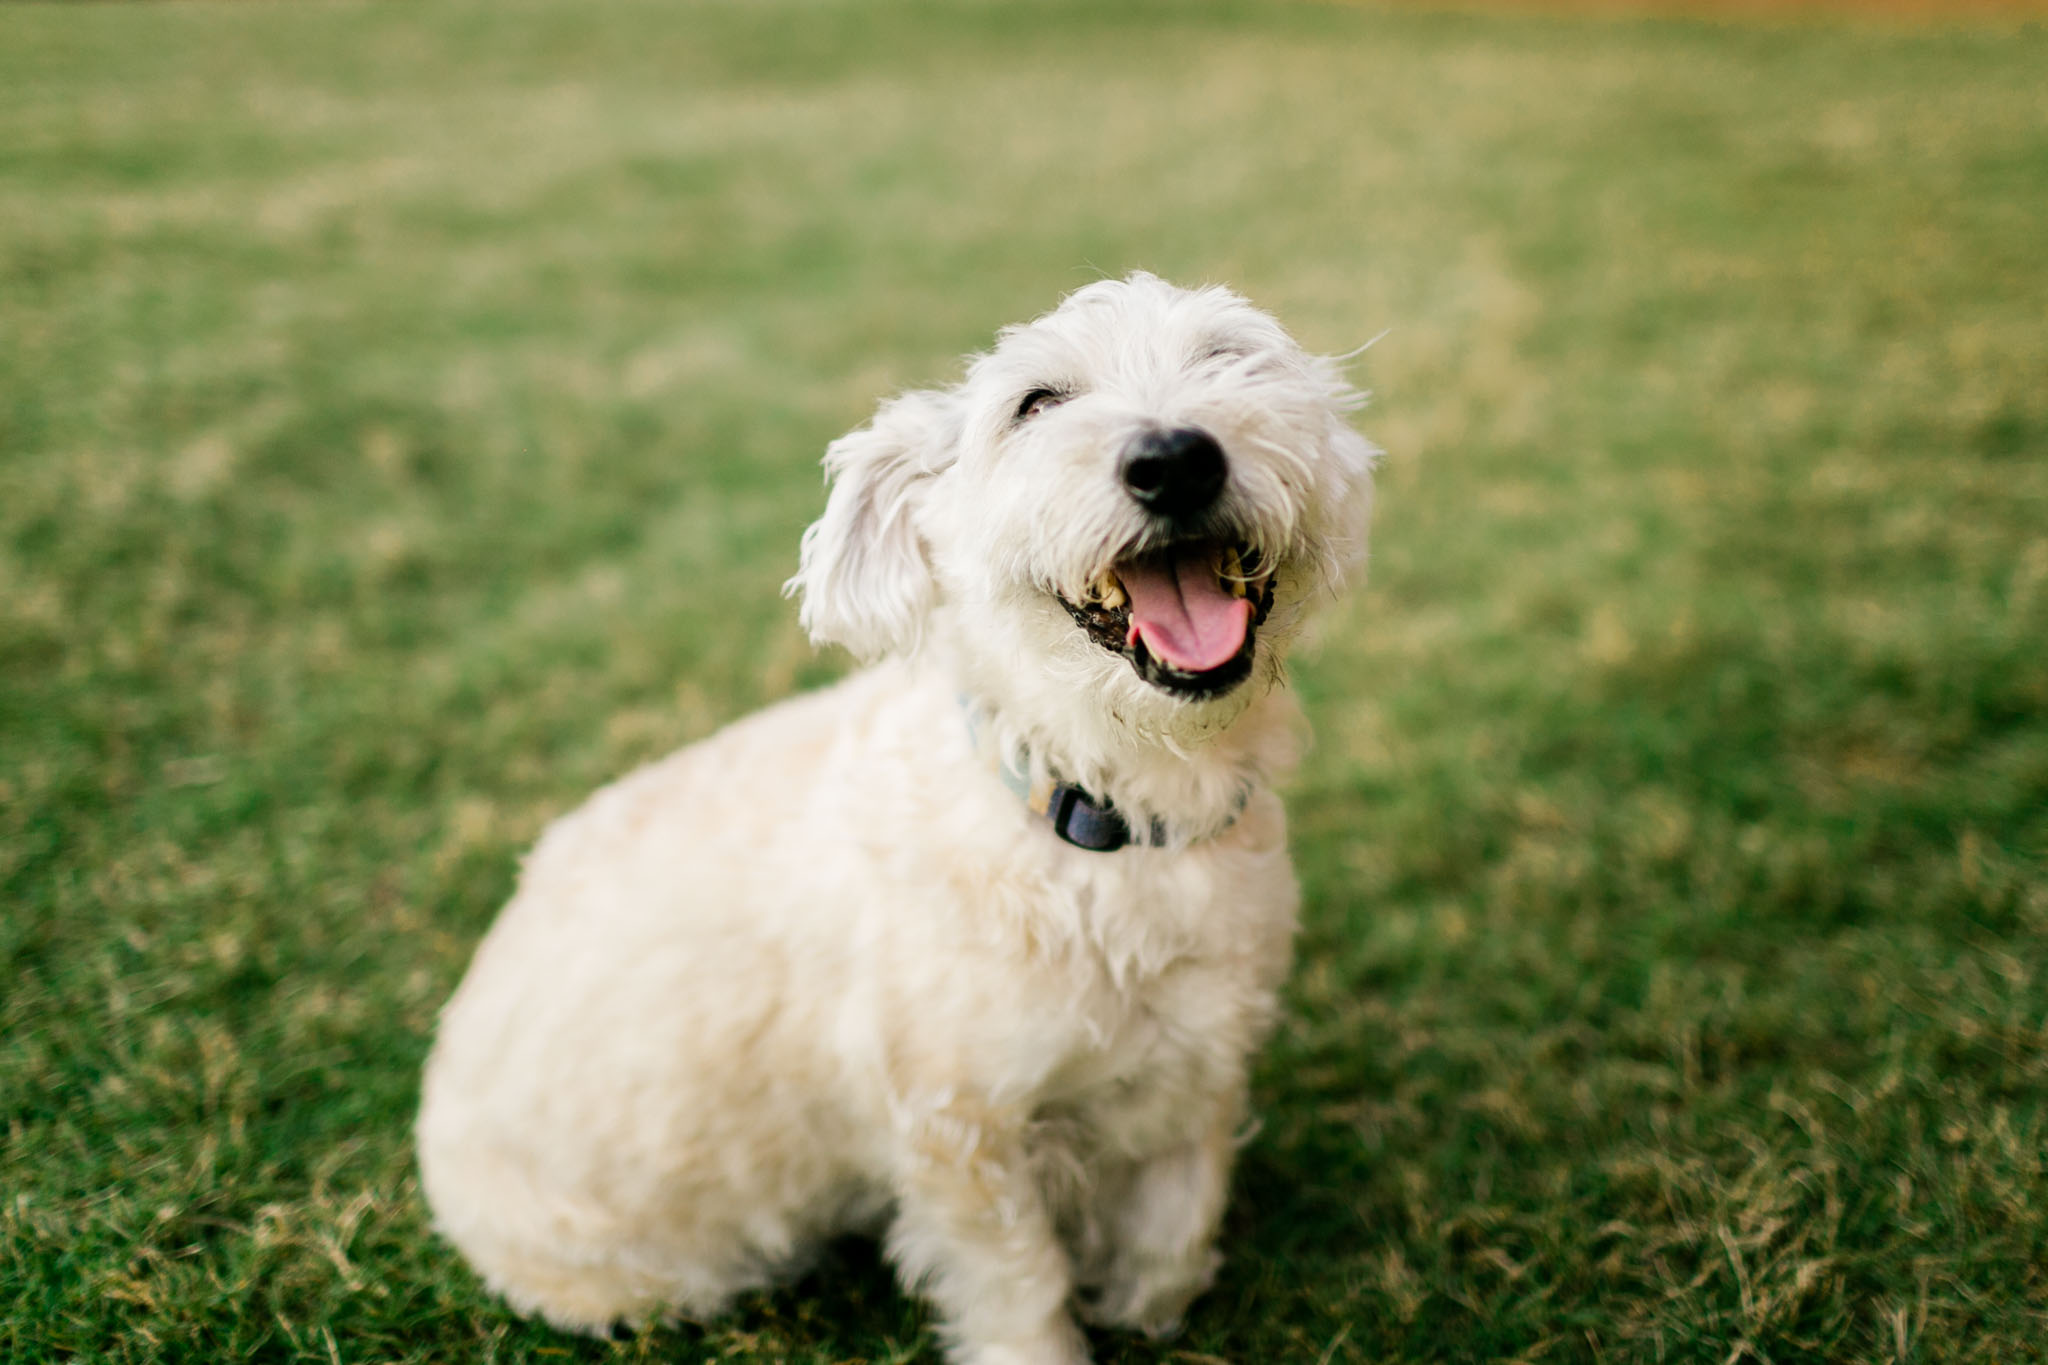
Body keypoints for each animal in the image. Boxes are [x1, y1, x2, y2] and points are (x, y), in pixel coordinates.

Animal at [415, 278, 1376, 1365]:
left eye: (1230, 357)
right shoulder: (958, 1136)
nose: (1174, 457)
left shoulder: (1199, 1067)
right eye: (1034, 404)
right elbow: (1021, 1295)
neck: (1108, 811)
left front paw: (1148, 1306)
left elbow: (1175, 1224)